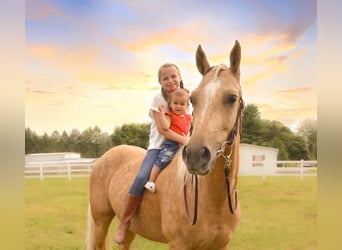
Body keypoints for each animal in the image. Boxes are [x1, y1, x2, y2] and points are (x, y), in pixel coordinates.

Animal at [87, 40, 244, 249]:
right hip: (101, 221)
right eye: (193, 99)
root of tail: (104, 157)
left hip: (128, 228)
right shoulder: (178, 244)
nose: (196, 155)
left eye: (232, 98)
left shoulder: (221, 245)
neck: (214, 199)